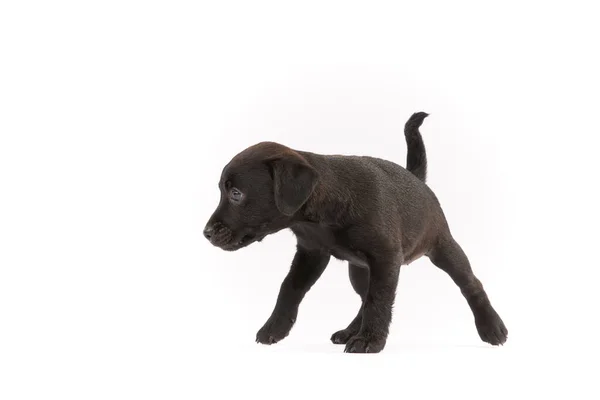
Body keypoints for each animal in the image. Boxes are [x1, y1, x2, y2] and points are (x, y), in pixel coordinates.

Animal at [203, 112, 506, 354]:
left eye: (236, 193)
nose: (205, 233)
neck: (319, 214)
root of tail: (417, 180)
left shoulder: (385, 259)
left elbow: (379, 300)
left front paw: (370, 340)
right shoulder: (312, 253)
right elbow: (289, 288)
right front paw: (275, 328)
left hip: (443, 247)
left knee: (471, 284)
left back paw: (492, 327)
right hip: (359, 270)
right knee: (363, 298)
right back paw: (350, 331)